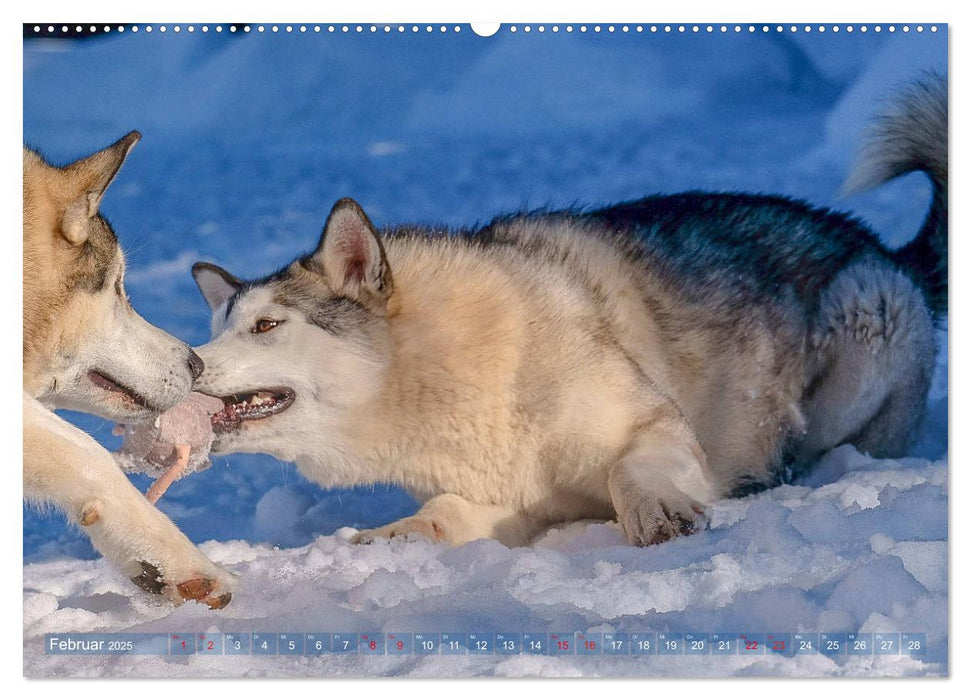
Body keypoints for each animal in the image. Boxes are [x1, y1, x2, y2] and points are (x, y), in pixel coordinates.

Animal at [194, 75, 944, 548]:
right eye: (219, 328)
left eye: (266, 326)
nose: (187, 363)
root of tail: (887, 250)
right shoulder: (494, 500)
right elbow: (440, 515)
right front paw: (381, 541)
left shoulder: (655, 427)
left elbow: (628, 470)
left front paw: (657, 512)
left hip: (863, 319)